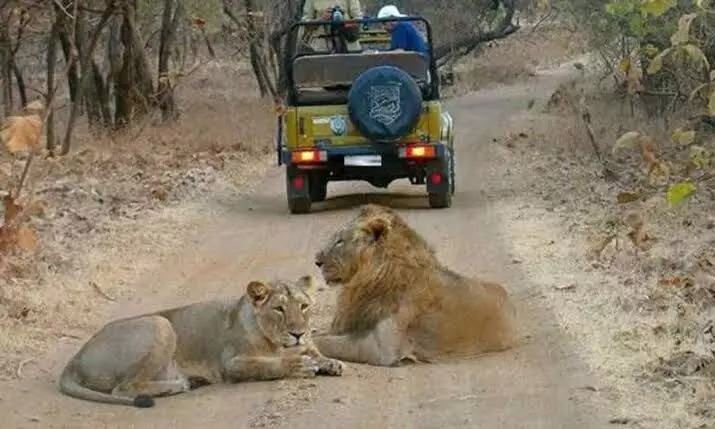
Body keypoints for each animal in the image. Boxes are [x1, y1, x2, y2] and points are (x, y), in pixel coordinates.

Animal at [58, 275, 344, 408]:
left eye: (304, 306)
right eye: (279, 309)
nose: (298, 333)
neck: (275, 341)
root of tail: (74, 359)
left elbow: (316, 353)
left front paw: (331, 363)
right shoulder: (231, 363)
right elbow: (268, 365)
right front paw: (299, 365)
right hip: (160, 324)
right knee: (124, 388)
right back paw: (181, 384)